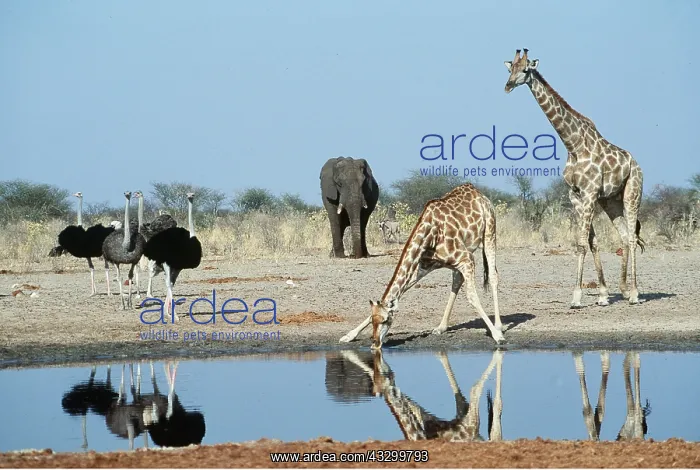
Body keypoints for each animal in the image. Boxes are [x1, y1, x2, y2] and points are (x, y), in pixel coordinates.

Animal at [339, 183, 505, 348]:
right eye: (373, 321)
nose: (375, 344)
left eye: (386, 320)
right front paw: (348, 336)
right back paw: (441, 327)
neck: (430, 234)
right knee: (457, 281)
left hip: (489, 232)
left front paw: (498, 336)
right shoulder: (424, 266)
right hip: (460, 258)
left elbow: (471, 296)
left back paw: (498, 326)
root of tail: (479, 194)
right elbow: (402, 290)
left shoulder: (467, 259)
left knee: (493, 275)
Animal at [504, 49, 645, 308]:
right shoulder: (576, 196)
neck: (573, 144)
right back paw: (623, 290)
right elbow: (590, 242)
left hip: (632, 193)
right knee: (623, 236)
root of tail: (637, 165)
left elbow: (581, 244)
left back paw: (634, 294)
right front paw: (602, 294)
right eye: (510, 69)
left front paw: (577, 297)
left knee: (631, 237)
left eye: (525, 69)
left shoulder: (589, 194)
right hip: (610, 201)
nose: (508, 86)